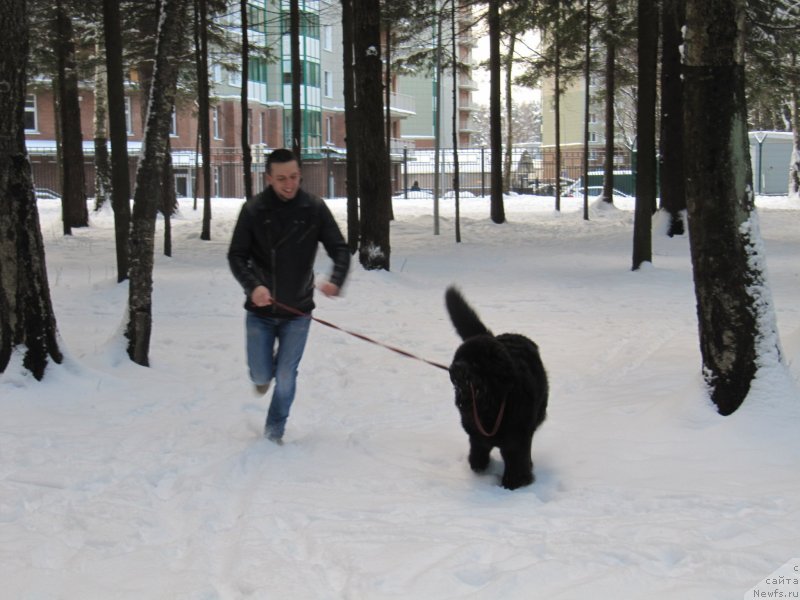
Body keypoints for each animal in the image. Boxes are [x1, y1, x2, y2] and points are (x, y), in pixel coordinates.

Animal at [444, 288, 552, 490]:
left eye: (476, 363)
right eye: (459, 357)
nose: (454, 368)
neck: (489, 406)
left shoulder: (516, 440)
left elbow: (517, 462)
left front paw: (514, 483)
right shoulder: (476, 435)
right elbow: (477, 452)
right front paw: (479, 468)